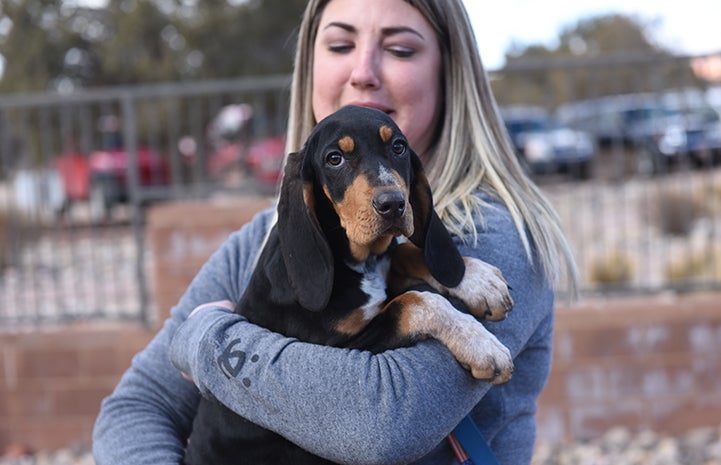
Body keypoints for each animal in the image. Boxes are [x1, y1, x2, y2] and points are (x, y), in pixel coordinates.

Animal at [183, 105, 516, 464]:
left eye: (398, 147)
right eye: (334, 159)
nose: (392, 204)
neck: (357, 261)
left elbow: (406, 252)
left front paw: (475, 278)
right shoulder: (338, 348)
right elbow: (414, 301)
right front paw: (481, 344)